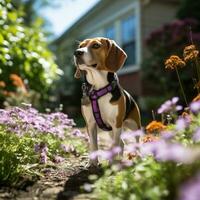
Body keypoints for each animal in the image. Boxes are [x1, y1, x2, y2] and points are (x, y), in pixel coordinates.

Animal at [73, 37, 141, 166]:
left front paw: (112, 164)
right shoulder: (90, 124)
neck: (98, 89)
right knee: (122, 143)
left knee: (136, 142)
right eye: (81, 46)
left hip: (134, 126)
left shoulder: (116, 124)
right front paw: (92, 163)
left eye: (96, 45)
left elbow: (113, 146)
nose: (77, 52)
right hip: (111, 130)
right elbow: (94, 145)